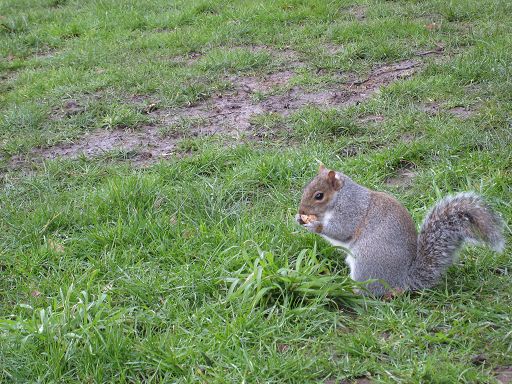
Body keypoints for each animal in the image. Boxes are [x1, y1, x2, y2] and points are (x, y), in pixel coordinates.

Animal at [296, 164, 504, 296]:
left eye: (319, 196)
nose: (302, 211)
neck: (340, 197)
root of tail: (402, 280)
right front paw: (298, 219)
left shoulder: (351, 211)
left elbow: (340, 231)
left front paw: (314, 225)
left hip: (367, 262)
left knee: (371, 292)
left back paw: (348, 290)